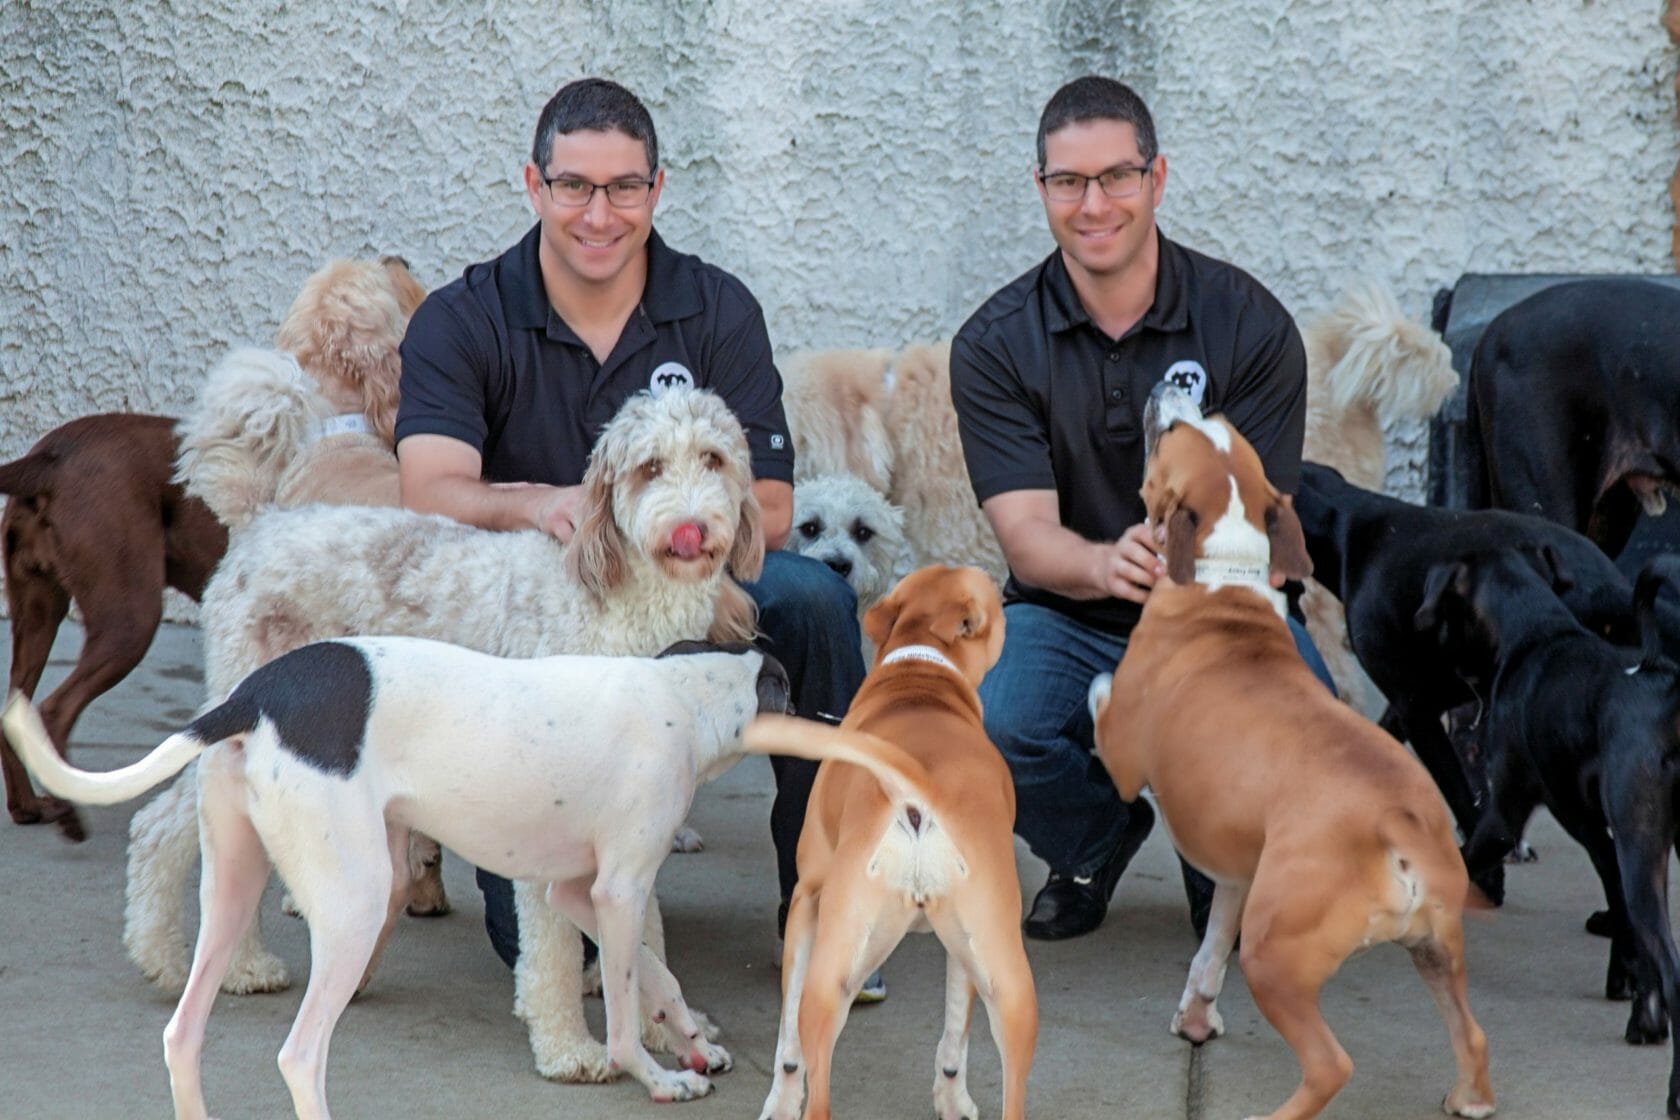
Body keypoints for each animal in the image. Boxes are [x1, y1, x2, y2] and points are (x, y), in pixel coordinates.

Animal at [3, 638, 786, 1120]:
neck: (684, 691)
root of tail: (255, 694)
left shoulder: (577, 891)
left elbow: (658, 973)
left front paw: (694, 1037)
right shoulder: (618, 890)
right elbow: (624, 1018)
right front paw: (663, 1079)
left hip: (231, 890)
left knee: (182, 1033)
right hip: (355, 907)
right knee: (300, 1054)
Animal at [121, 387, 766, 1088]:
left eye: (714, 459)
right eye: (650, 468)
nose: (691, 529)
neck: (617, 605)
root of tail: (263, 521)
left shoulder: (631, 820)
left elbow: (644, 934)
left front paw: (671, 1033)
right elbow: (552, 948)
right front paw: (569, 1049)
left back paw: (231, 963)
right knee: (158, 826)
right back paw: (175, 957)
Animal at [749, 570, 1034, 1120]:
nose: (1006, 581)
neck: (920, 671)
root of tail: (917, 787)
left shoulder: (805, 903)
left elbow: (786, 1039)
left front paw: (780, 1097)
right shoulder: (963, 950)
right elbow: (956, 1026)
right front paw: (952, 1098)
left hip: (834, 977)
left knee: (815, 1071)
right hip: (1009, 985)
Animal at [1088, 386, 1498, 1120]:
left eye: (1173, 436)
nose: (1178, 389)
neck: (1221, 573)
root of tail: (1397, 821)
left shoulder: (1123, 757)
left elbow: (1101, 691)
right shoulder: (1237, 878)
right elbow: (1208, 955)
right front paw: (1196, 1017)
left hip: (1274, 959)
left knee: (1331, 1065)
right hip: (1435, 948)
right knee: (1472, 1034)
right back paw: (1470, 1099)